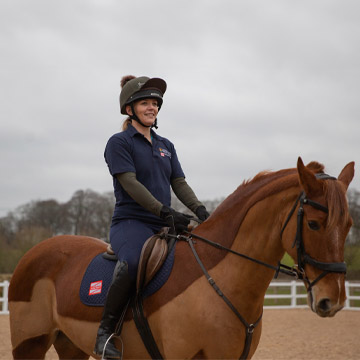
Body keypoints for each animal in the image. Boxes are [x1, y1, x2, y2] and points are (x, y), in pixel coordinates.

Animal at [8, 158, 354, 360]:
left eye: (349, 224)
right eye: (314, 224)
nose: (333, 301)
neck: (220, 283)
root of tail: (33, 252)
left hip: (70, 344)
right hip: (30, 343)